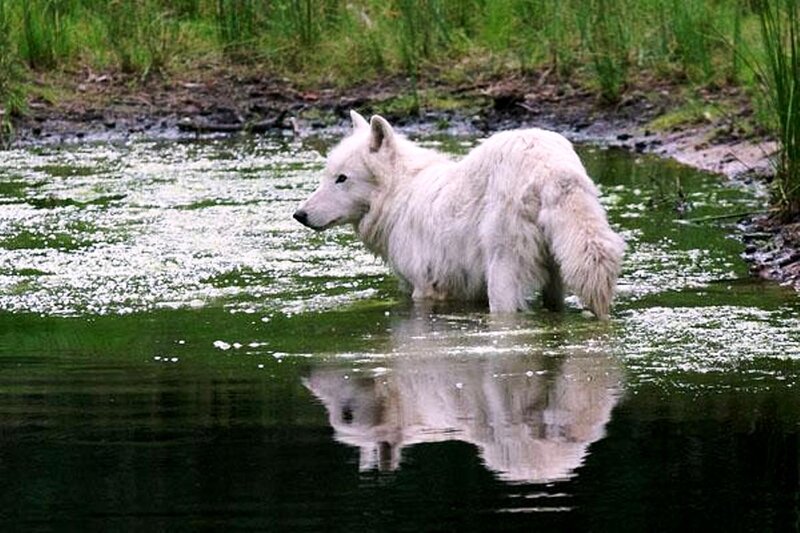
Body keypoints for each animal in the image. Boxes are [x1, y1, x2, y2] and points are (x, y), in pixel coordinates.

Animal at [293, 111, 624, 318]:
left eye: (342, 179)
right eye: (327, 176)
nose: (299, 215)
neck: (400, 192)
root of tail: (549, 166)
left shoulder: (424, 291)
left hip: (502, 277)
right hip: (557, 277)